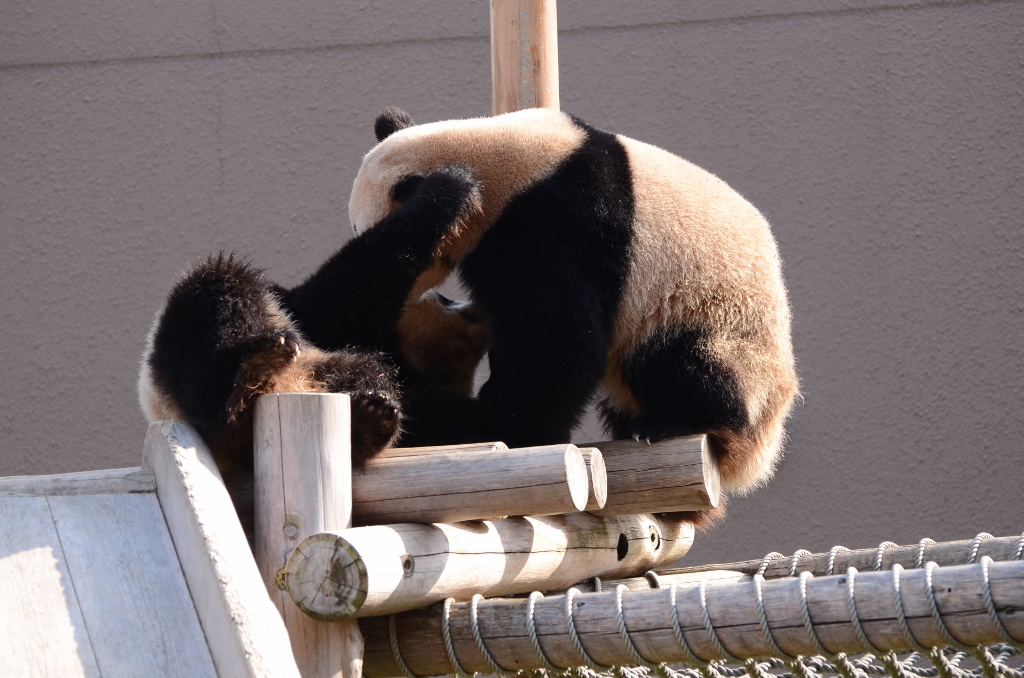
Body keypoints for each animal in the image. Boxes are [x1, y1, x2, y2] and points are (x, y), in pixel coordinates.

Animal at [352, 106, 798, 499]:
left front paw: (514, 426)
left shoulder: (556, 221)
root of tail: (761, 450)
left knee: (681, 361)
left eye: (395, 247)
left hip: (716, 321)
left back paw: (673, 422)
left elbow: (558, 341)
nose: (398, 304)